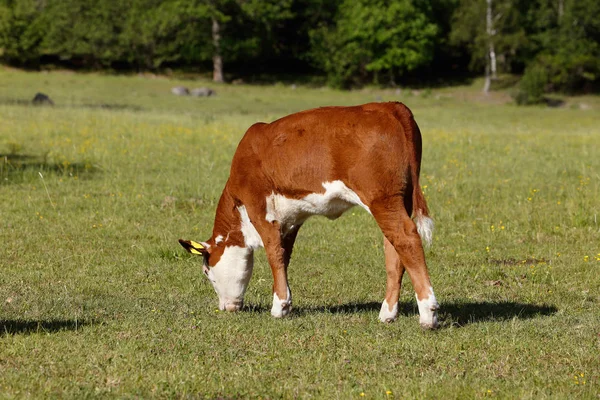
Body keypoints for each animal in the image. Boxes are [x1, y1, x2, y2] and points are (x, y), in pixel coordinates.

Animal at [180, 102, 438, 328]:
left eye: (207, 272)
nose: (225, 307)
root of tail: (389, 106)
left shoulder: (259, 208)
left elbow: (273, 253)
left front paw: (279, 307)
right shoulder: (290, 219)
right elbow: (284, 255)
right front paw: (284, 301)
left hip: (382, 199)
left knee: (407, 238)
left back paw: (428, 314)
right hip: (399, 199)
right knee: (394, 250)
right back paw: (388, 313)